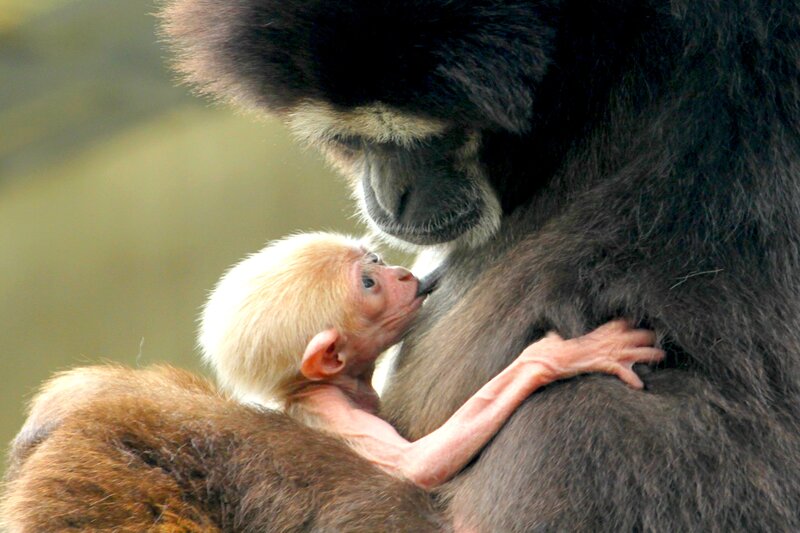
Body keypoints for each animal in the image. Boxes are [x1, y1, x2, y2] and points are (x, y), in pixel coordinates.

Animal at [197, 232, 663, 490]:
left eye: (375, 260)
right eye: (370, 284)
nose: (404, 276)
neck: (326, 386)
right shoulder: (335, 413)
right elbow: (419, 464)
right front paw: (557, 356)